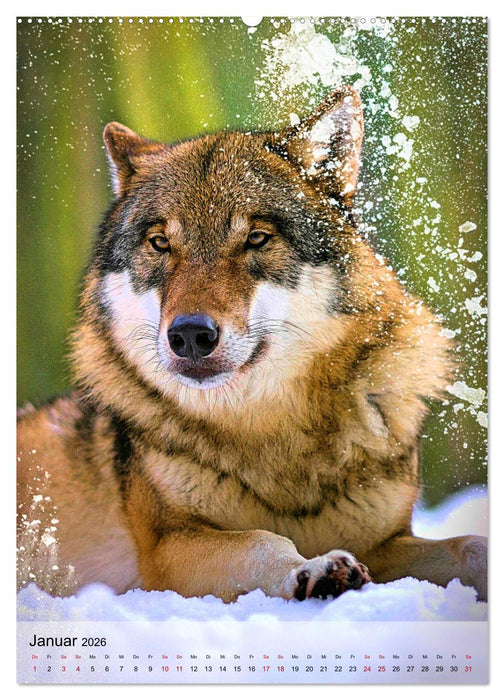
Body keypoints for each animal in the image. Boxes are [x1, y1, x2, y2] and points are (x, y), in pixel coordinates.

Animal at [17, 87, 487, 602]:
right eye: (160, 243)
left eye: (257, 238)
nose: (190, 335)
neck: (269, 428)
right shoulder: (169, 550)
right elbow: (265, 540)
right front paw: (316, 567)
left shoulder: (385, 543)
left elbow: (471, 545)